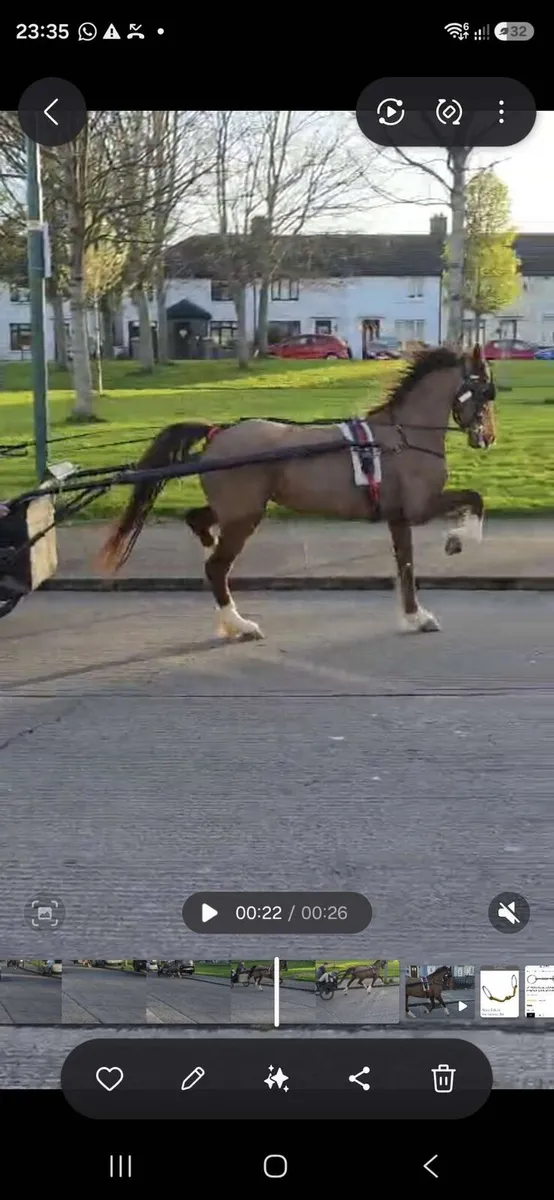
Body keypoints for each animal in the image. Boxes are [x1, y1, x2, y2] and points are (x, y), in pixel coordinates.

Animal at [98, 345, 496, 637]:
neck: (402, 437)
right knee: (216, 568)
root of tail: (218, 433)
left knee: (197, 520)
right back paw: (239, 623)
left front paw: (415, 616)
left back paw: (212, 556)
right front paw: (457, 539)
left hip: (240, 509)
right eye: (483, 392)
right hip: (245, 515)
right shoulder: (418, 507)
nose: (488, 438)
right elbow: (475, 500)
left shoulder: (397, 517)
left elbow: (407, 566)